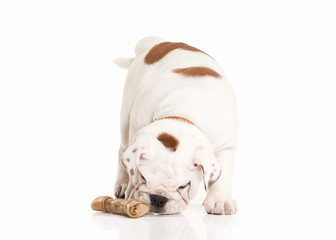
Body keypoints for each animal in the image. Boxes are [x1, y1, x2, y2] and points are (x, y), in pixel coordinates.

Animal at [113, 36, 239, 216]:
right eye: (143, 177)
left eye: (183, 186)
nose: (158, 198)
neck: (185, 112)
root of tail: (157, 44)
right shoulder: (137, 128)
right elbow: (131, 169)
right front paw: (131, 188)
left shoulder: (227, 145)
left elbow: (222, 177)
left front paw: (220, 201)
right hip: (126, 115)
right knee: (122, 150)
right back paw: (123, 185)